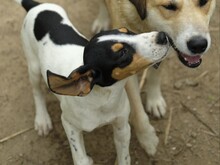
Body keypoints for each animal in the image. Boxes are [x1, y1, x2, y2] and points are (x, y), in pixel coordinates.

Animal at [14, 0, 170, 164]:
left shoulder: (122, 127)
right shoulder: (69, 123)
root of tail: (36, 6)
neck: (103, 98)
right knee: (37, 92)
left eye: (127, 31)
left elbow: (124, 157)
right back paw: (42, 119)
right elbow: (80, 158)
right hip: (34, 68)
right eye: (122, 53)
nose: (162, 36)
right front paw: (86, 159)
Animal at [92, 0, 216, 156]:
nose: (199, 45)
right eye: (169, 6)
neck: (145, 23)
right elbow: (138, 110)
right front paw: (147, 138)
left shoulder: (164, 46)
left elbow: (154, 78)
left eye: (204, 2)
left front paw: (154, 101)